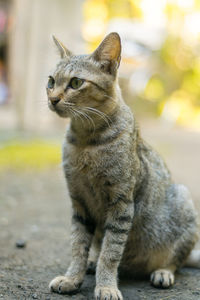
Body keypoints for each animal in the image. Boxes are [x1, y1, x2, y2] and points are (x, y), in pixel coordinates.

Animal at [46, 32, 198, 300]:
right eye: (51, 81)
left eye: (76, 83)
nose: (52, 99)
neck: (85, 140)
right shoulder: (79, 201)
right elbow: (78, 246)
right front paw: (72, 277)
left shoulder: (121, 202)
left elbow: (111, 251)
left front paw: (106, 285)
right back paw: (92, 263)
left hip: (183, 199)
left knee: (177, 259)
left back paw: (162, 272)